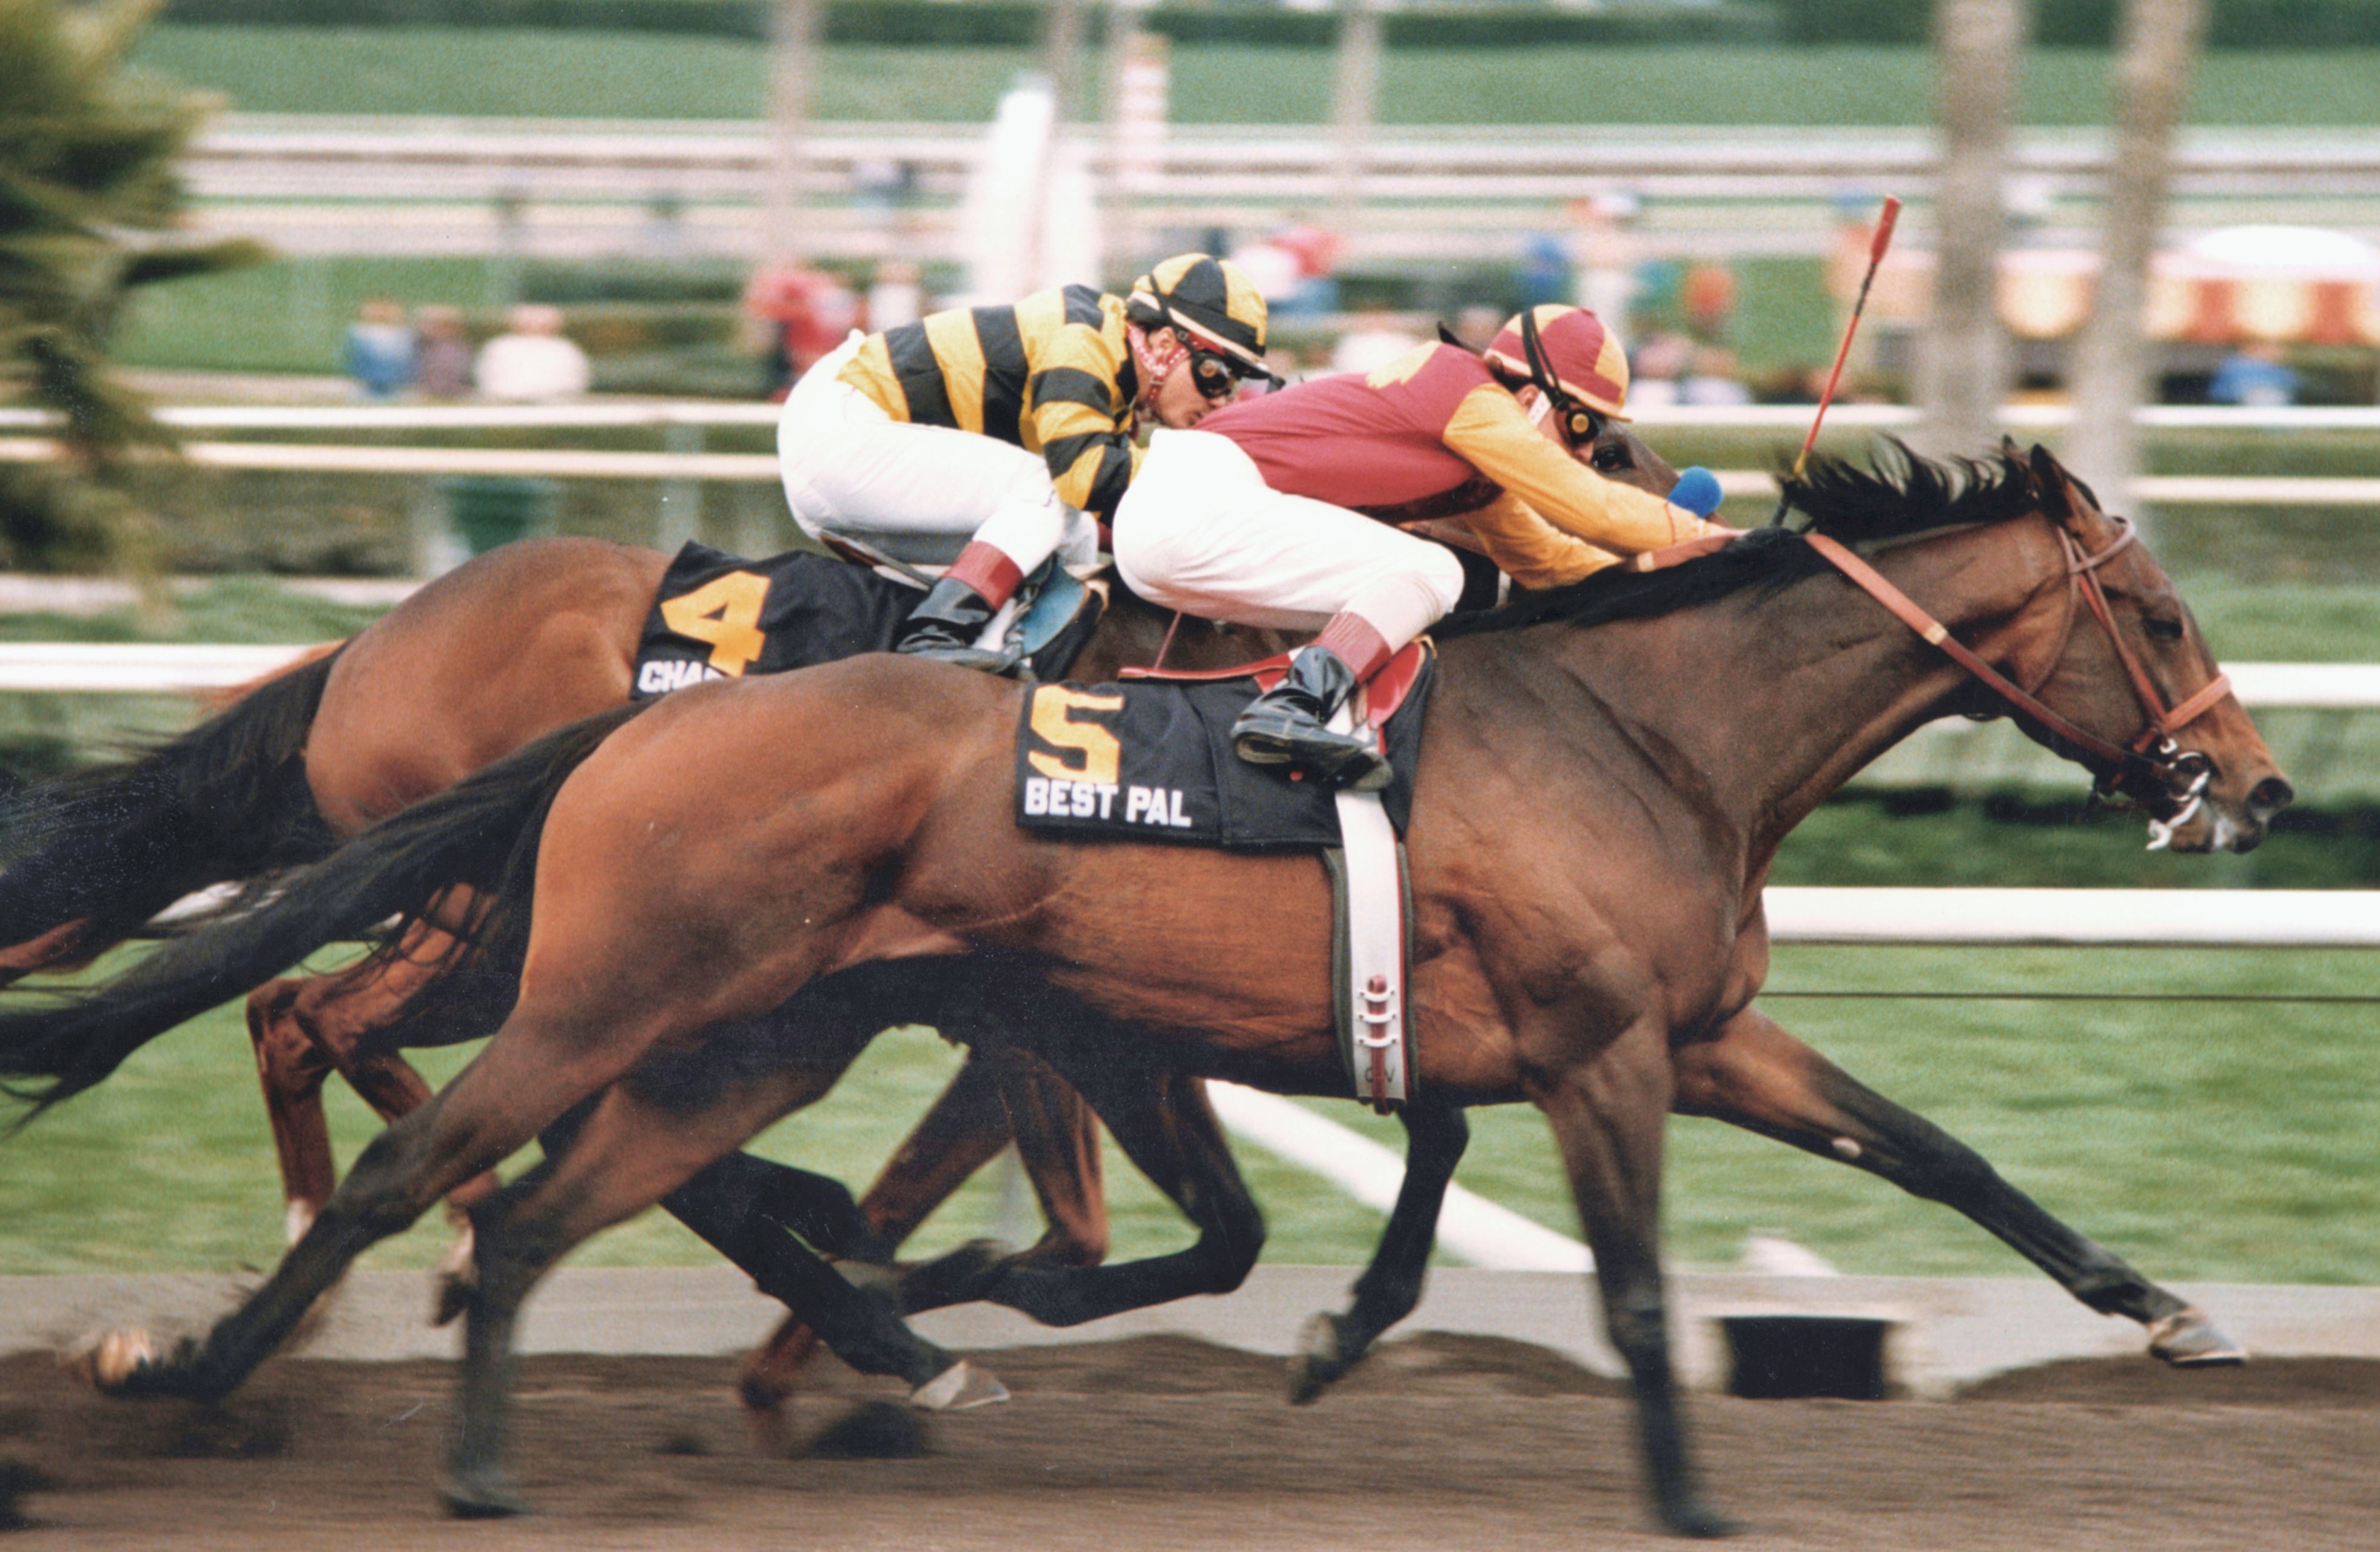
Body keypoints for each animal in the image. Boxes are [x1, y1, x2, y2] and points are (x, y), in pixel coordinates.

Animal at [42, 445, 2285, 1523]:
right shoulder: (1584, 1048)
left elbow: (1939, 1149)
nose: (2255, 788)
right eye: (2164, 611)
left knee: (472, 1145)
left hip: (716, 1010)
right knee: (374, 1090)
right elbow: (1612, 1283)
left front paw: (2166, 1308)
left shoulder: (1687, 1029)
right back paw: (230, 1361)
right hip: (553, 965)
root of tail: (390, 632)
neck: (1638, 726)